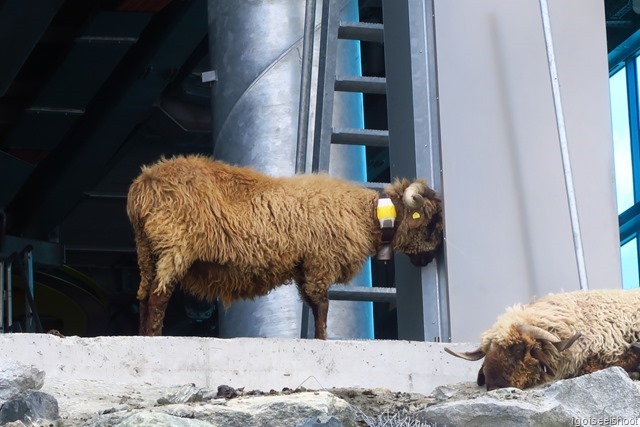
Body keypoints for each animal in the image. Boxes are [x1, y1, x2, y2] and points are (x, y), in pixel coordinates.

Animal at [127, 155, 442, 340]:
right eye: (432, 222)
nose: (430, 259)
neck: (368, 215)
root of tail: (143, 183)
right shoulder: (319, 261)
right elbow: (323, 306)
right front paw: (323, 341)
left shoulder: (304, 267)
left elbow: (314, 304)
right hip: (174, 244)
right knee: (158, 296)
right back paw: (153, 338)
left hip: (147, 249)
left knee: (144, 296)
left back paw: (142, 335)